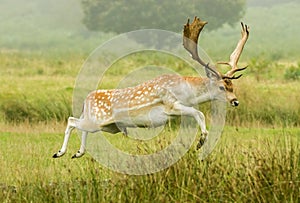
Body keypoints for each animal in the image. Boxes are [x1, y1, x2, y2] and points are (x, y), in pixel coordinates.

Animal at [53, 16, 248, 158]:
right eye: (222, 87)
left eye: (232, 86)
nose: (236, 101)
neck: (187, 92)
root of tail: (86, 100)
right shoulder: (171, 105)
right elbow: (198, 113)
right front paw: (200, 143)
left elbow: (197, 114)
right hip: (98, 120)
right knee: (71, 121)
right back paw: (59, 153)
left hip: (107, 126)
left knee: (81, 127)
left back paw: (78, 153)